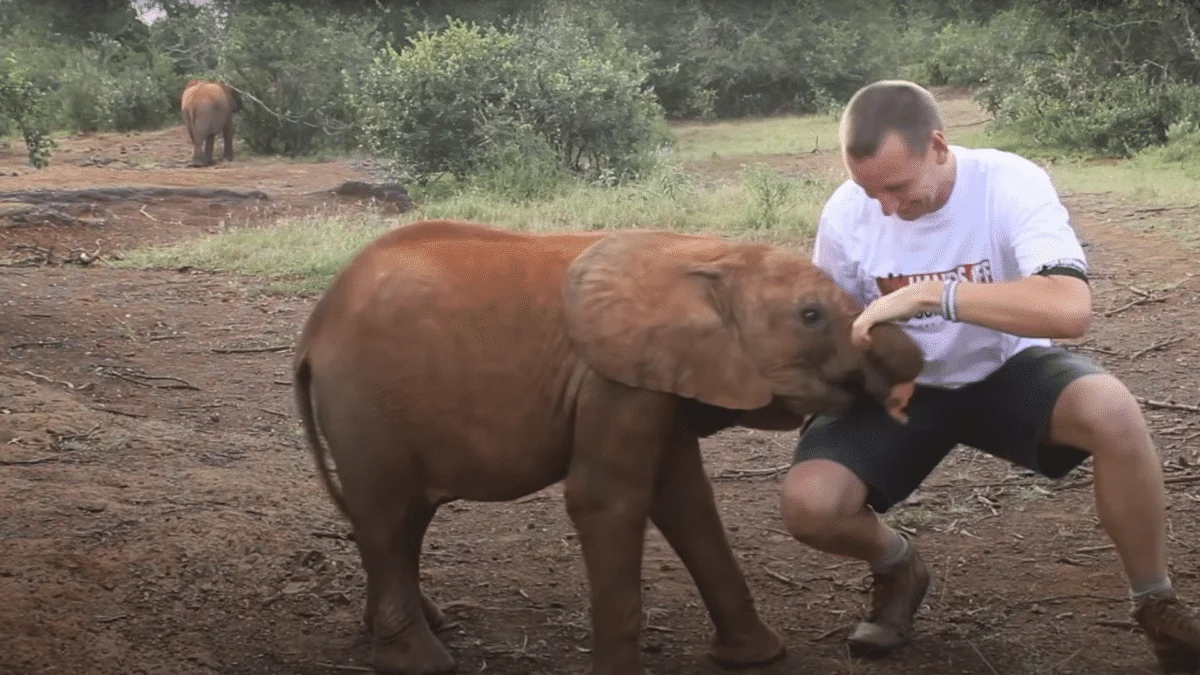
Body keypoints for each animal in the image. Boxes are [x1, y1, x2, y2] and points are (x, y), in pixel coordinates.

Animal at [292, 219, 926, 672]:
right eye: (811, 315)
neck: (702, 255)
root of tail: (313, 330)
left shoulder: (662, 377)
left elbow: (686, 499)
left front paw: (758, 658)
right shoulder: (614, 379)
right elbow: (608, 500)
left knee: (404, 518)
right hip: (363, 403)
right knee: (385, 513)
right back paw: (422, 662)